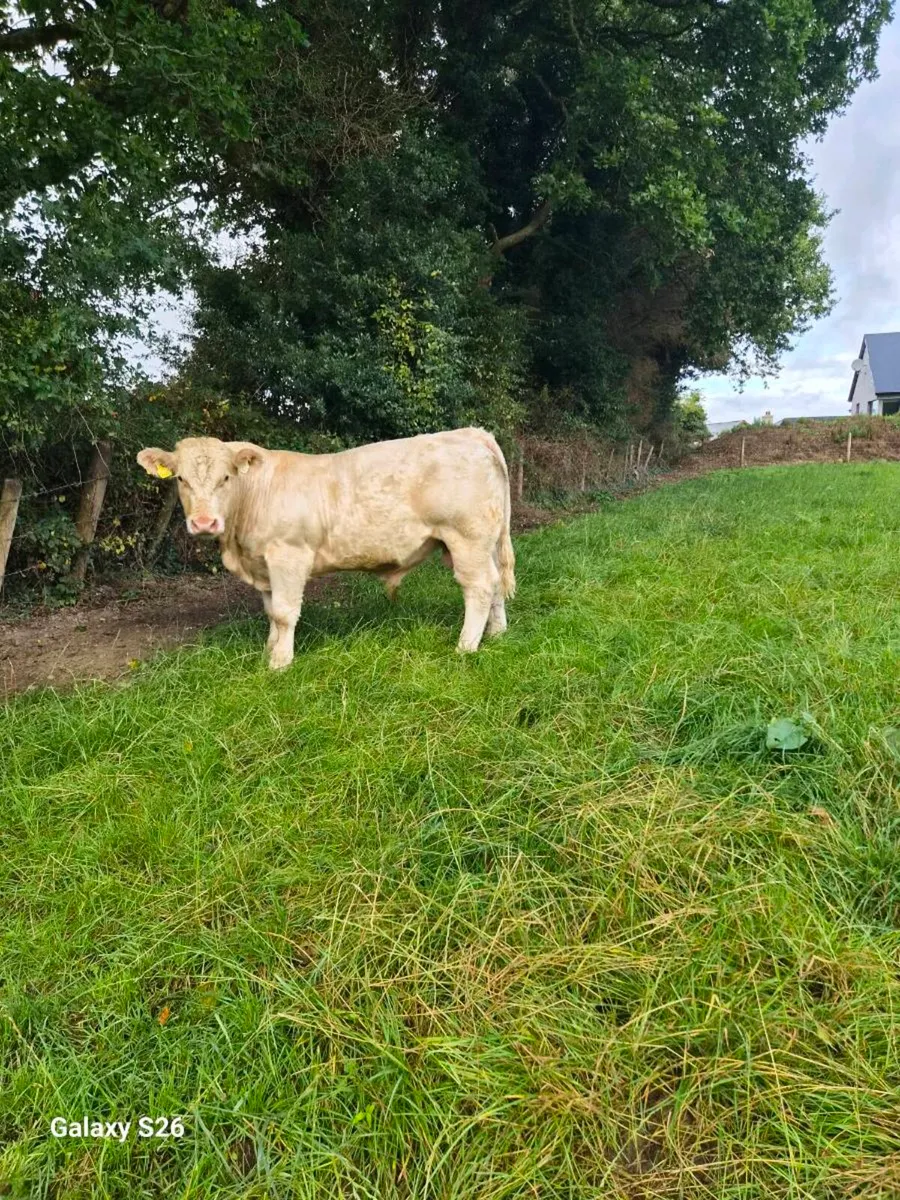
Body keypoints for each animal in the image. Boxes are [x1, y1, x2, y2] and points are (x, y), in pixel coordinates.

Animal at [137, 427, 516, 670]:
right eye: (181, 479)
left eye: (226, 478)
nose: (204, 522)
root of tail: (472, 432)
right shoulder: (263, 565)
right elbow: (271, 612)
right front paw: (269, 650)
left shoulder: (288, 555)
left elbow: (285, 612)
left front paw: (280, 663)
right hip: (482, 541)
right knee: (496, 582)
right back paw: (496, 635)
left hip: (466, 538)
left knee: (479, 587)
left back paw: (465, 647)